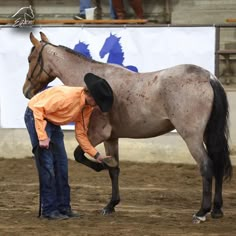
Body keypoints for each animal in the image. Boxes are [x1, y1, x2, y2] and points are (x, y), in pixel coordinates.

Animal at [22, 31, 232, 223]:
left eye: (30, 59)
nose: (26, 91)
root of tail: (208, 77)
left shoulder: (97, 134)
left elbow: (79, 154)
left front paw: (100, 166)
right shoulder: (111, 138)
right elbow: (114, 170)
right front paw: (111, 204)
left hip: (191, 137)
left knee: (206, 165)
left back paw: (202, 212)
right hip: (207, 135)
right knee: (218, 164)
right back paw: (217, 209)